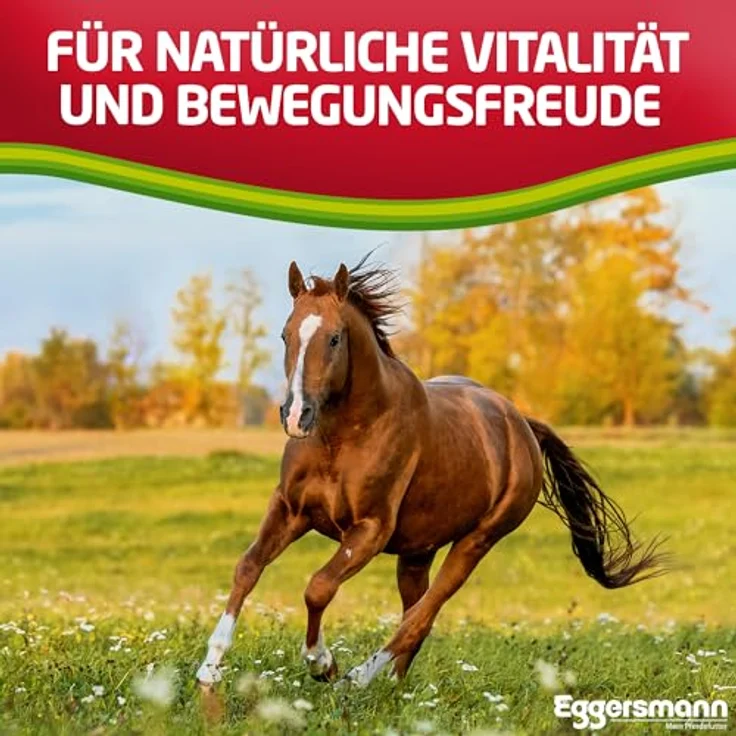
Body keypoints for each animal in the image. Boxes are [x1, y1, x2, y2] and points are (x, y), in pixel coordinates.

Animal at [196, 255, 665, 689]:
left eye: (333, 338)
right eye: (285, 334)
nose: (296, 415)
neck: (343, 438)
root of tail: (523, 425)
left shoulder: (369, 530)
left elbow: (319, 586)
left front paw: (323, 664)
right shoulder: (291, 510)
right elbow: (248, 566)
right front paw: (209, 669)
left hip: (475, 542)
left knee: (421, 616)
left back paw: (357, 680)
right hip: (417, 552)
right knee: (416, 614)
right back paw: (392, 686)